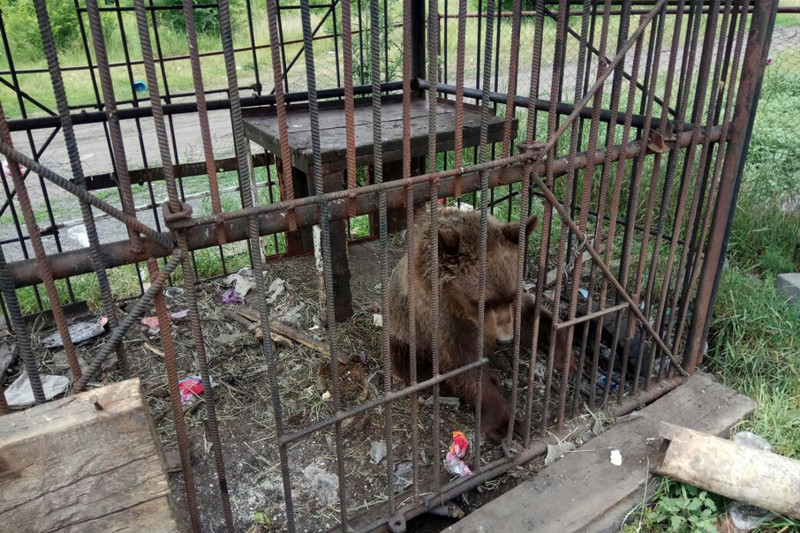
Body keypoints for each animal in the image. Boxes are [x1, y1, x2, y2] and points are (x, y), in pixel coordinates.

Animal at [388, 206, 568, 442]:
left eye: (510, 296)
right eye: (483, 302)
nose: (505, 340)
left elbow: (529, 317)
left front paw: (565, 352)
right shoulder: (440, 318)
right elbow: (464, 362)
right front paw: (505, 423)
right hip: (404, 339)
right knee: (413, 364)